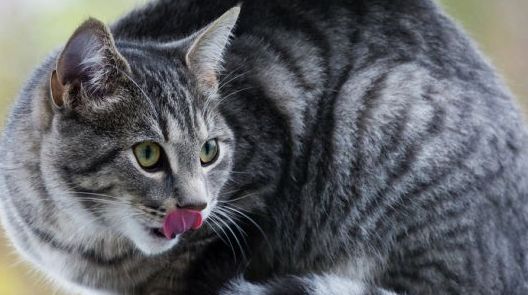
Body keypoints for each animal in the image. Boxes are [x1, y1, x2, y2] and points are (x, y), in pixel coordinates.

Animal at [1, 0, 528, 294]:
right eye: (147, 155)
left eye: (209, 151)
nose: (197, 206)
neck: (86, 242)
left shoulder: (252, 202)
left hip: (384, 104)